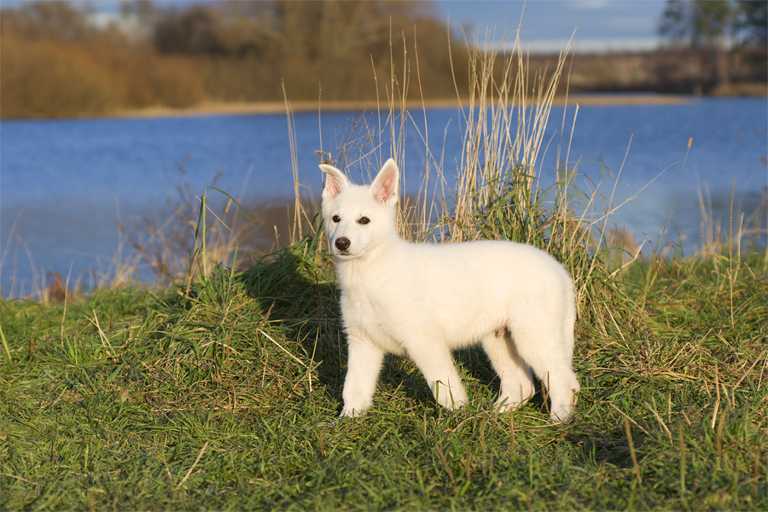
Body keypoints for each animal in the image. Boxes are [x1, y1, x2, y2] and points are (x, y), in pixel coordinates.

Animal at [320, 158, 580, 422]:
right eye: (335, 219)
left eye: (364, 220)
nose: (341, 243)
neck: (371, 270)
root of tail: (559, 270)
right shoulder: (362, 341)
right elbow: (354, 387)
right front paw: (348, 419)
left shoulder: (424, 340)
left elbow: (444, 385)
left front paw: (458, 417)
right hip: (499, 338)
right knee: (522, 384)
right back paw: (494, 414)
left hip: (534, 335)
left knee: (564, 379)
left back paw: (559, 417)